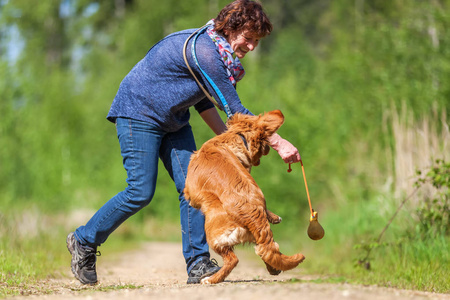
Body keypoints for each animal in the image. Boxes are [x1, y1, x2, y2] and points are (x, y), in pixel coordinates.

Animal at [184, 109, 306, 284]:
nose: (268, 150)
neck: (235, 138)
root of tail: (253, 215)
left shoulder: (189, 191)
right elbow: (267, 208)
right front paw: (275, 217)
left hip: (214, 235)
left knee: (233, 260)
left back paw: (211, 279)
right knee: (267, 249)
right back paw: (273, 268)